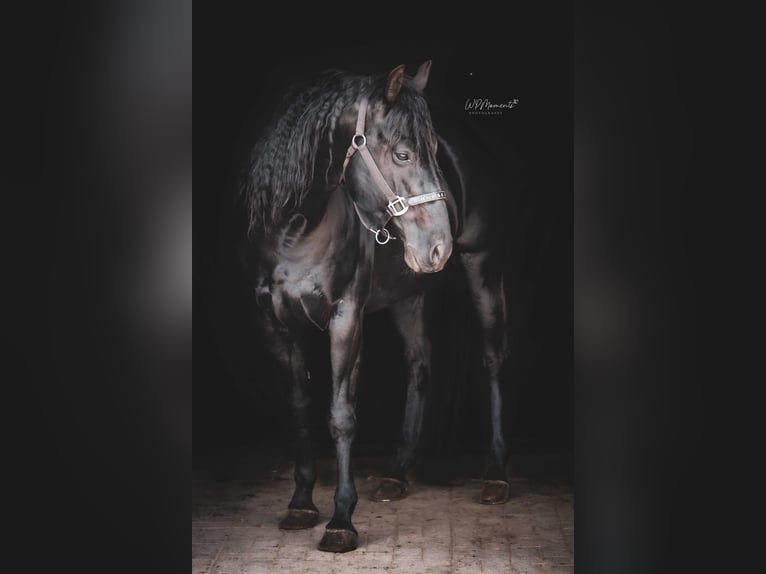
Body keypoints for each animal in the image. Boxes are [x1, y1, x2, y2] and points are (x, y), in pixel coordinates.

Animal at [238, 61, 510, 553]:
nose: (438, 246)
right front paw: (301, 502)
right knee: (421, 366)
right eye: (402, 155)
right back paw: (397, 473)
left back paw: (496, 476)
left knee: (493, 360)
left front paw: (342, 520)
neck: (295, 232)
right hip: (409, 293)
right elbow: (298, 408)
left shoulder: (346, 318)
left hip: (483, 267)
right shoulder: (275, 325)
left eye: (434, 153)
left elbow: (342, 415)